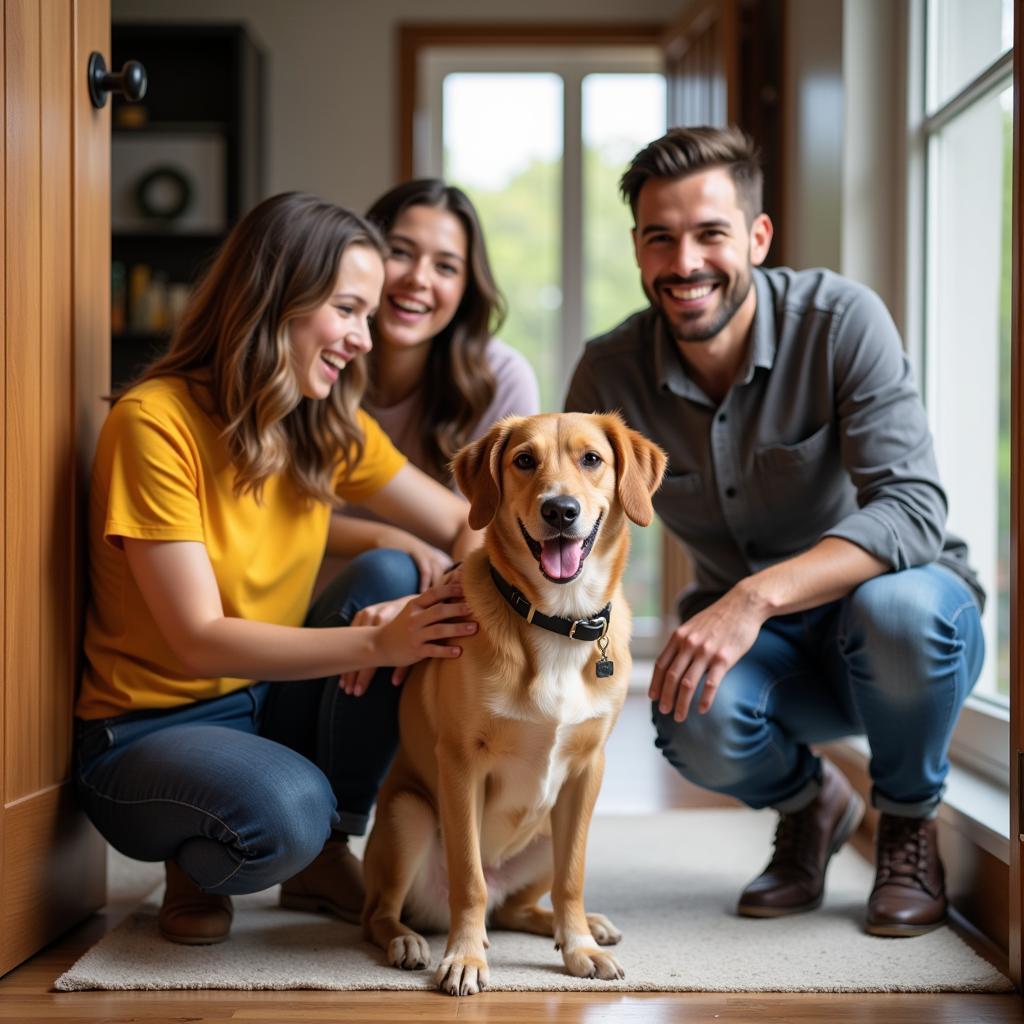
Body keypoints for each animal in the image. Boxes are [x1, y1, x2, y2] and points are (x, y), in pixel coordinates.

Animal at [360, 411, 663, 995]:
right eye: (524, 460)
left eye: (592, 459)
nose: (560, 510)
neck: (559, 620)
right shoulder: (461, 765)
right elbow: (469, 878)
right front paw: (464, 958)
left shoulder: (587, 771)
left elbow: (573, 878)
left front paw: (579, 948)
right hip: (410, 814)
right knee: (386, 912)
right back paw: (408, 940)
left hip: (547, 834)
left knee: (516, 908)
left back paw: (583, 927)